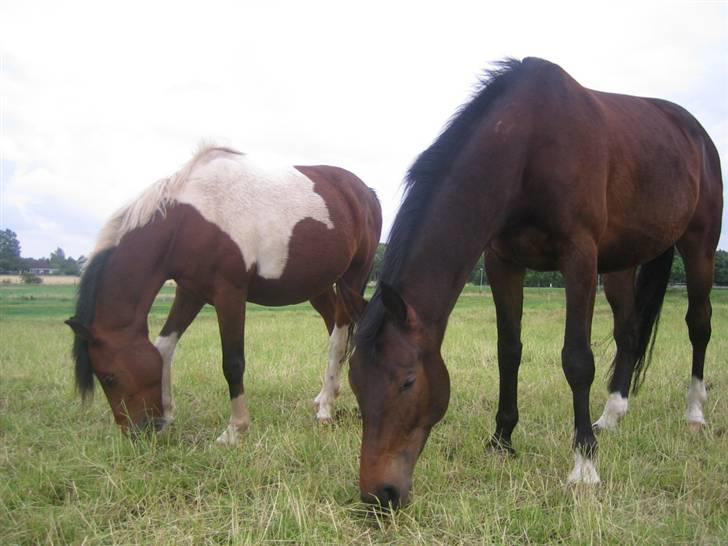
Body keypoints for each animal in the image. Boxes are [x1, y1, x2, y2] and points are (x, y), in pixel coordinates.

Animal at [66, 146, 382, 442]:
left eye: (109, 377)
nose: (140, 432)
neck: (186, 222)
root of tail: (365, 192)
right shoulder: (190, 292)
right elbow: (163, 348)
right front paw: (169, 413)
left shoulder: (229, 293)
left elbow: (232, 362)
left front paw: (235, 430)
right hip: (318, 286)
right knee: (334, 332)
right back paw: (326, 396)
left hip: (352, 279)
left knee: (338, 340)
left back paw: (326, 409)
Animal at [348, 57, 724, 504]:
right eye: (354, 382)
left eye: (407, 381)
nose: (379, 495)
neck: (528, 144)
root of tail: (694, 131)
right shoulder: (502, 261)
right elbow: (508, 350)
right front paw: (501, 440)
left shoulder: (579, 257)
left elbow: (577, 360)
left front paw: (584, 466)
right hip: (620, 264)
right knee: (629, 333)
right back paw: (610, 416)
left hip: (699, 247)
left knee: (698, 325)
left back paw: (695, 412)